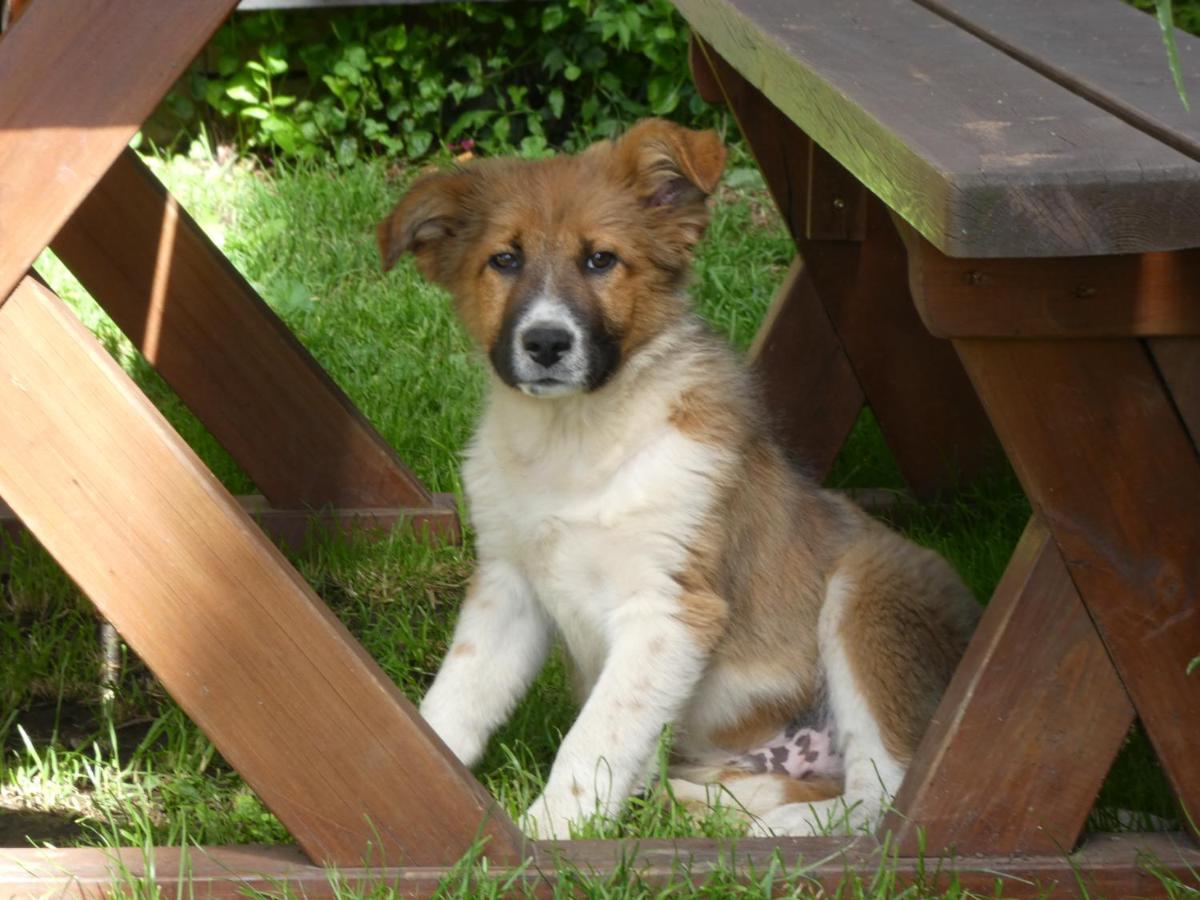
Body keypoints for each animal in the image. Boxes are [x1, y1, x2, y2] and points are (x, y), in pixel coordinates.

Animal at [379, 118, 979, 840]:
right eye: (504, 261)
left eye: (600, 260)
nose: (546, 343)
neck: (575, 439)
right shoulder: (509, 586)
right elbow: (458, 697)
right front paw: (419, 783)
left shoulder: (667, 608)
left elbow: (593, 740)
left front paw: (550, 835)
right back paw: (690, 804)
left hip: (869, 594)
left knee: (880, 791)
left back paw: (783, 833)